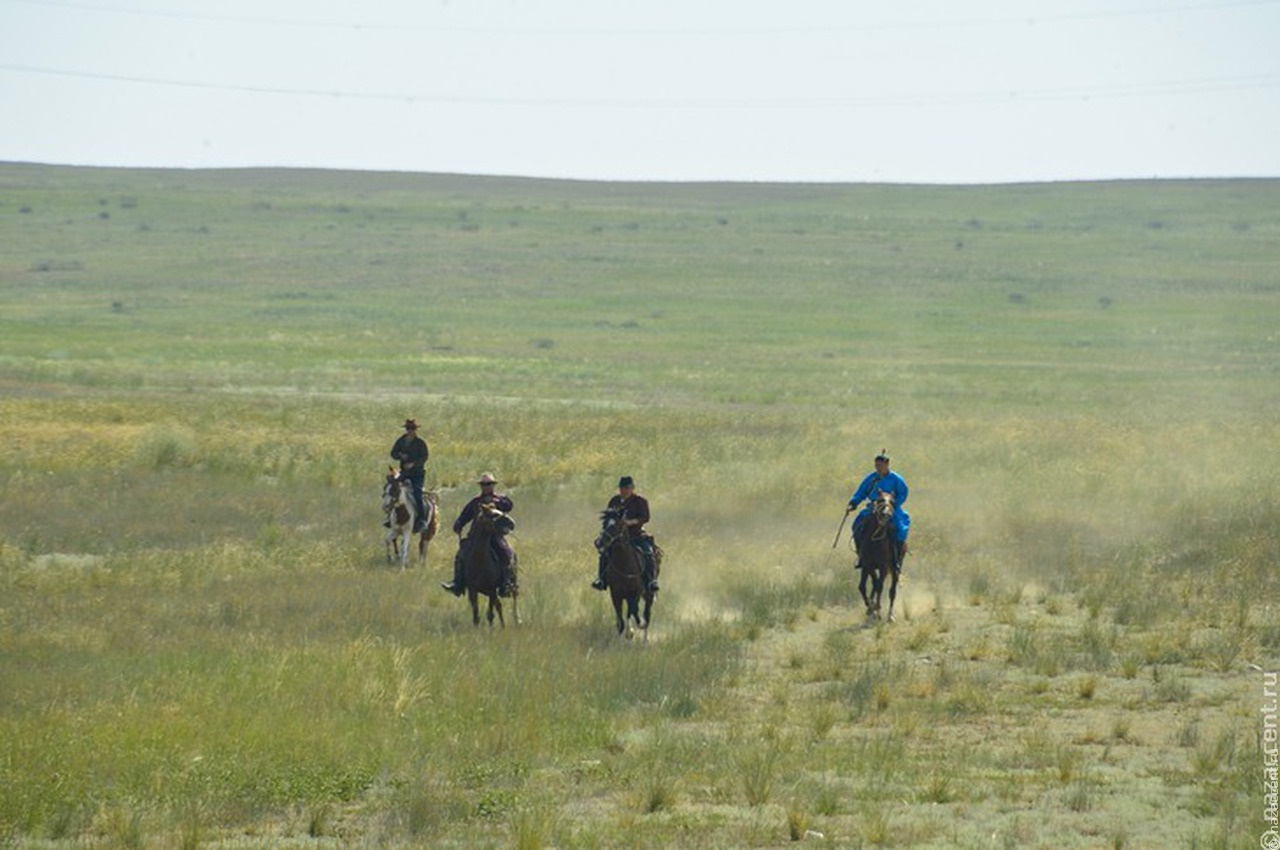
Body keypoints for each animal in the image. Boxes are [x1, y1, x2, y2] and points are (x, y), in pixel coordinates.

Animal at [599, 506, 655, 640]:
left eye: (616, 525)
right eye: (604, 524)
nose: (598, 543)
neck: (625, 565)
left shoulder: (635, 593)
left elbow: (633, 610)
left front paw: (632, 630)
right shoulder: (615, 594)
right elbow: (620, 620)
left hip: (649, 593)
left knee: (647, 614)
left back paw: (645, 639)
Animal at [860, 491, 901, 624]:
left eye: (893, 501)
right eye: (879, 500)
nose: (886, 515)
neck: (875, 542)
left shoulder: (883, 566)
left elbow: (880, 586)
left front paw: (876, 610)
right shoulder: (867, 565)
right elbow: (864, 586)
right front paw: (870, 608)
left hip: (895, 567)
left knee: (892, 591)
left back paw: (890, 616)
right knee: (874, 583)